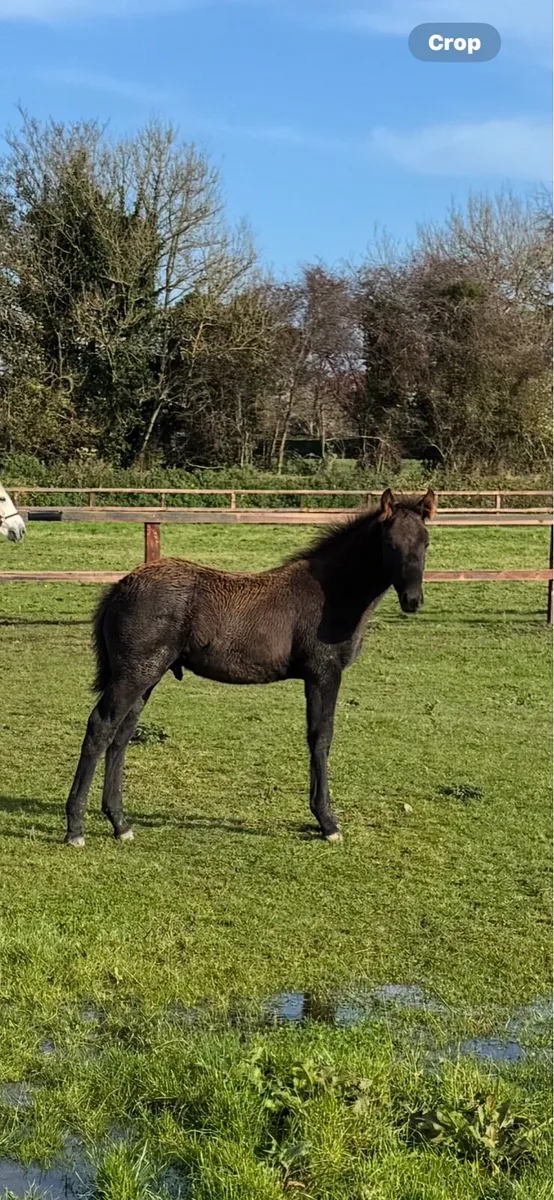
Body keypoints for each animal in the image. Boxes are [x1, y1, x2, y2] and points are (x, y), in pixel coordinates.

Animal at [65, 487, 436, 848]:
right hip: (133, 675)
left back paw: (120, 824)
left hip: (146, 676)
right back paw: (75, 828)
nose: (412, 600)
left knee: (121, 735)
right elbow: (321, 737)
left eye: (426, 542)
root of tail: (119, 586)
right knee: (101, 727)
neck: (330, 592)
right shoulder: (324, 672)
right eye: (389, 543)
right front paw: (327, 822)